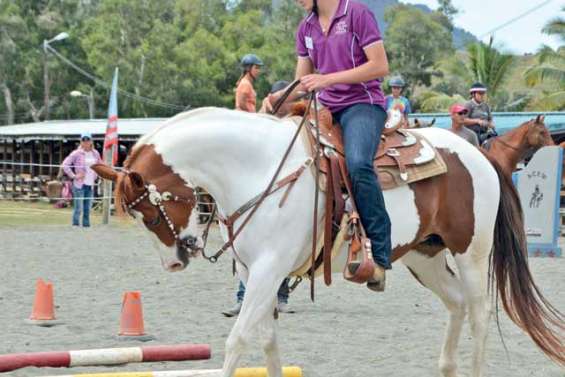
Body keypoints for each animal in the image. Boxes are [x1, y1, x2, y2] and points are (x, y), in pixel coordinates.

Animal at [90, 106, 560, 376]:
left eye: (150, 212)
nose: (175, 261)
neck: (259, 169)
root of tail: (480, 155)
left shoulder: (268, 271)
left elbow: (237, 341)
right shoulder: (257, 275)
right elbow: (267, 341)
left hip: (471, 253)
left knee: (479, 315)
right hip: (425, 255)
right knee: (458, 305)